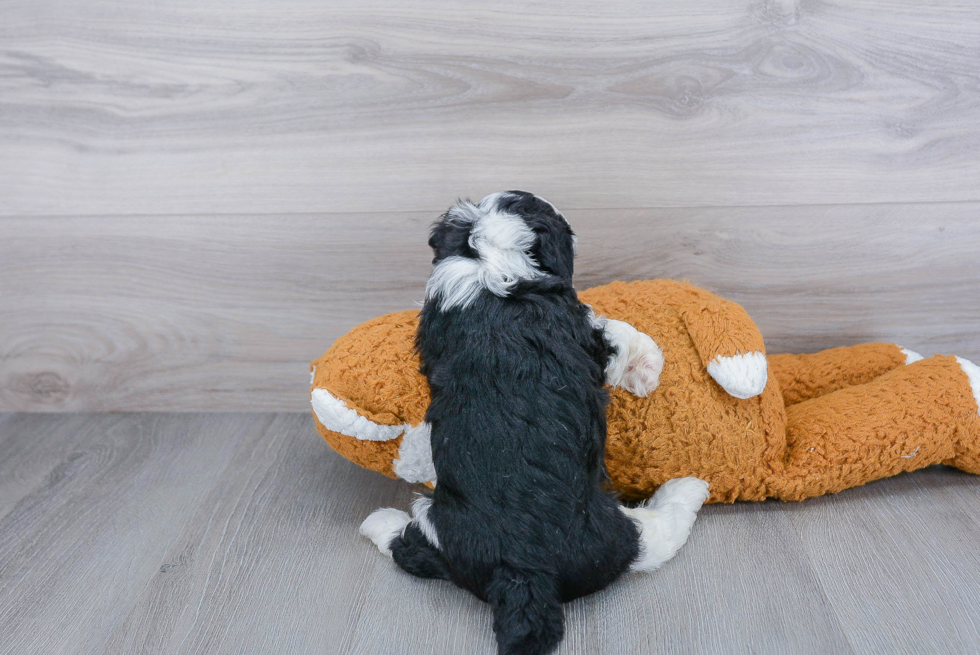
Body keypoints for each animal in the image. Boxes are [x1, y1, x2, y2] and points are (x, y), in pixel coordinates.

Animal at [360, 191, 712, 655]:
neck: (488, 261)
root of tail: (524, 572)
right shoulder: (584, 332)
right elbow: (621, 334)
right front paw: (648, 371)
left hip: (446, 532)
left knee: (415, 551)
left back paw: (379, 523)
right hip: (612, 539)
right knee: (656, 539)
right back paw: (686, 489)